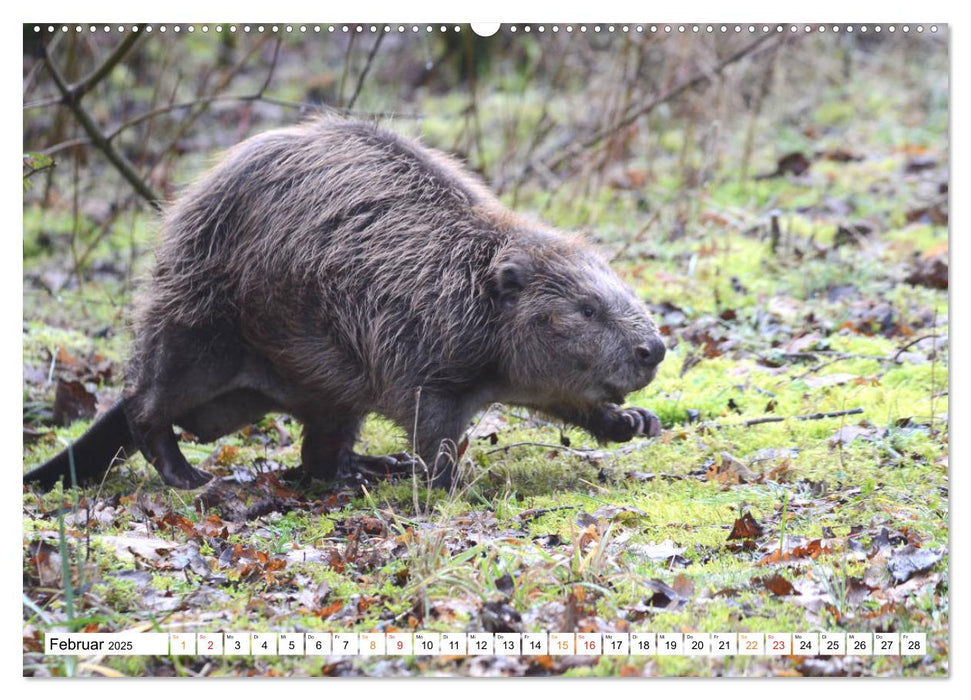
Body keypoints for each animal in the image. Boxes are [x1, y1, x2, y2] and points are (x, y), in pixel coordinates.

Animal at [22, 116, 664, 492]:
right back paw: (189, 474)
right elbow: (430, 422)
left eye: (621, 293)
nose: (653, 348)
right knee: (147, 406)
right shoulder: (419, 349)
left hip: (324, 388)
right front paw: (451, 480)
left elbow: (564, 399)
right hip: (199, 324)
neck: (467, 279)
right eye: (587, 309)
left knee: (318, 450)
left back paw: (358, 472)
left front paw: (632, 421)